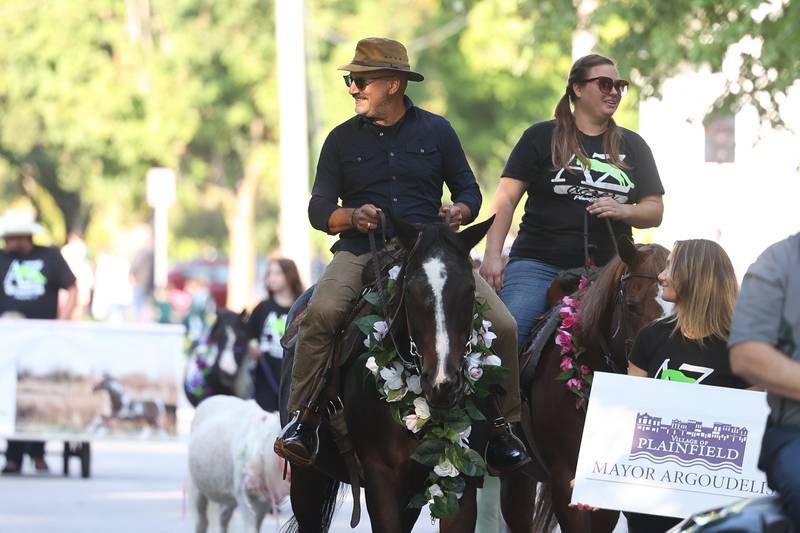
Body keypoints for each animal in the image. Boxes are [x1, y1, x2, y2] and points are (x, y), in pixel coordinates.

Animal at [188, 394, 288, 532]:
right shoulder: (242, 491)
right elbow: (250, 522)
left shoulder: (265, 497)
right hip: (198, 487)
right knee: (202, 520)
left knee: (223, 517)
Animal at [280, 217, 494, 532]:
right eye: (412, 290)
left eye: (468, 289)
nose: (442, 383)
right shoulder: (382, 480)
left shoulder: (463, 478)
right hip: (307, 479)